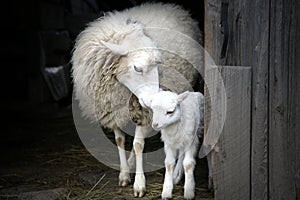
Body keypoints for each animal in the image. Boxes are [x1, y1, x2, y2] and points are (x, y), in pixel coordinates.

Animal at [71, 1, 203, 197]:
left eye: (158, 65)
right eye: (138, 68)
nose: (154, 100)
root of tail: (174, 8)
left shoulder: (143, 113)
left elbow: (139, 144)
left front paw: (139, 184)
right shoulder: (113, 110)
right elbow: (120, 140)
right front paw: (125, 174)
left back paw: (177, 173)